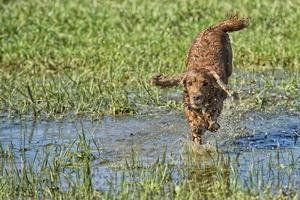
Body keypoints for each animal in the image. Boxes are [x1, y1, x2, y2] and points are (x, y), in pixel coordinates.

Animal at [151, 14, 247, 145]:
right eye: (189, 83)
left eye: (205, 83)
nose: (196, 97)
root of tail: (214, 27)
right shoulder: (188, 103)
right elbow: (194, 121)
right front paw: (197, 129)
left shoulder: (217, 100)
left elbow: (212, 113)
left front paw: (211, 124)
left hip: (229, 65)